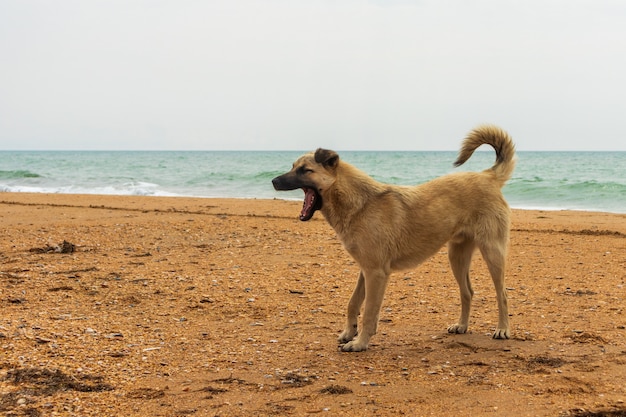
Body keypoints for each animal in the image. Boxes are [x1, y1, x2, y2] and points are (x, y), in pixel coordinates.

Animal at [270, 124, 516, 352]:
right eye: (293, 167)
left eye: (305, 170)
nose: (273, 181)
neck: (359, 204)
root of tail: (488, 175)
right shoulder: (365, 270)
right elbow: (353, 303)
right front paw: (349, 333)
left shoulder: (376, 273)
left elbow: (369, 312)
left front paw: (360, 343)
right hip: (457, 256)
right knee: (468, 292)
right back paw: (462, 325)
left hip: (492, 252)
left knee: (502, 293)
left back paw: (503, 329)